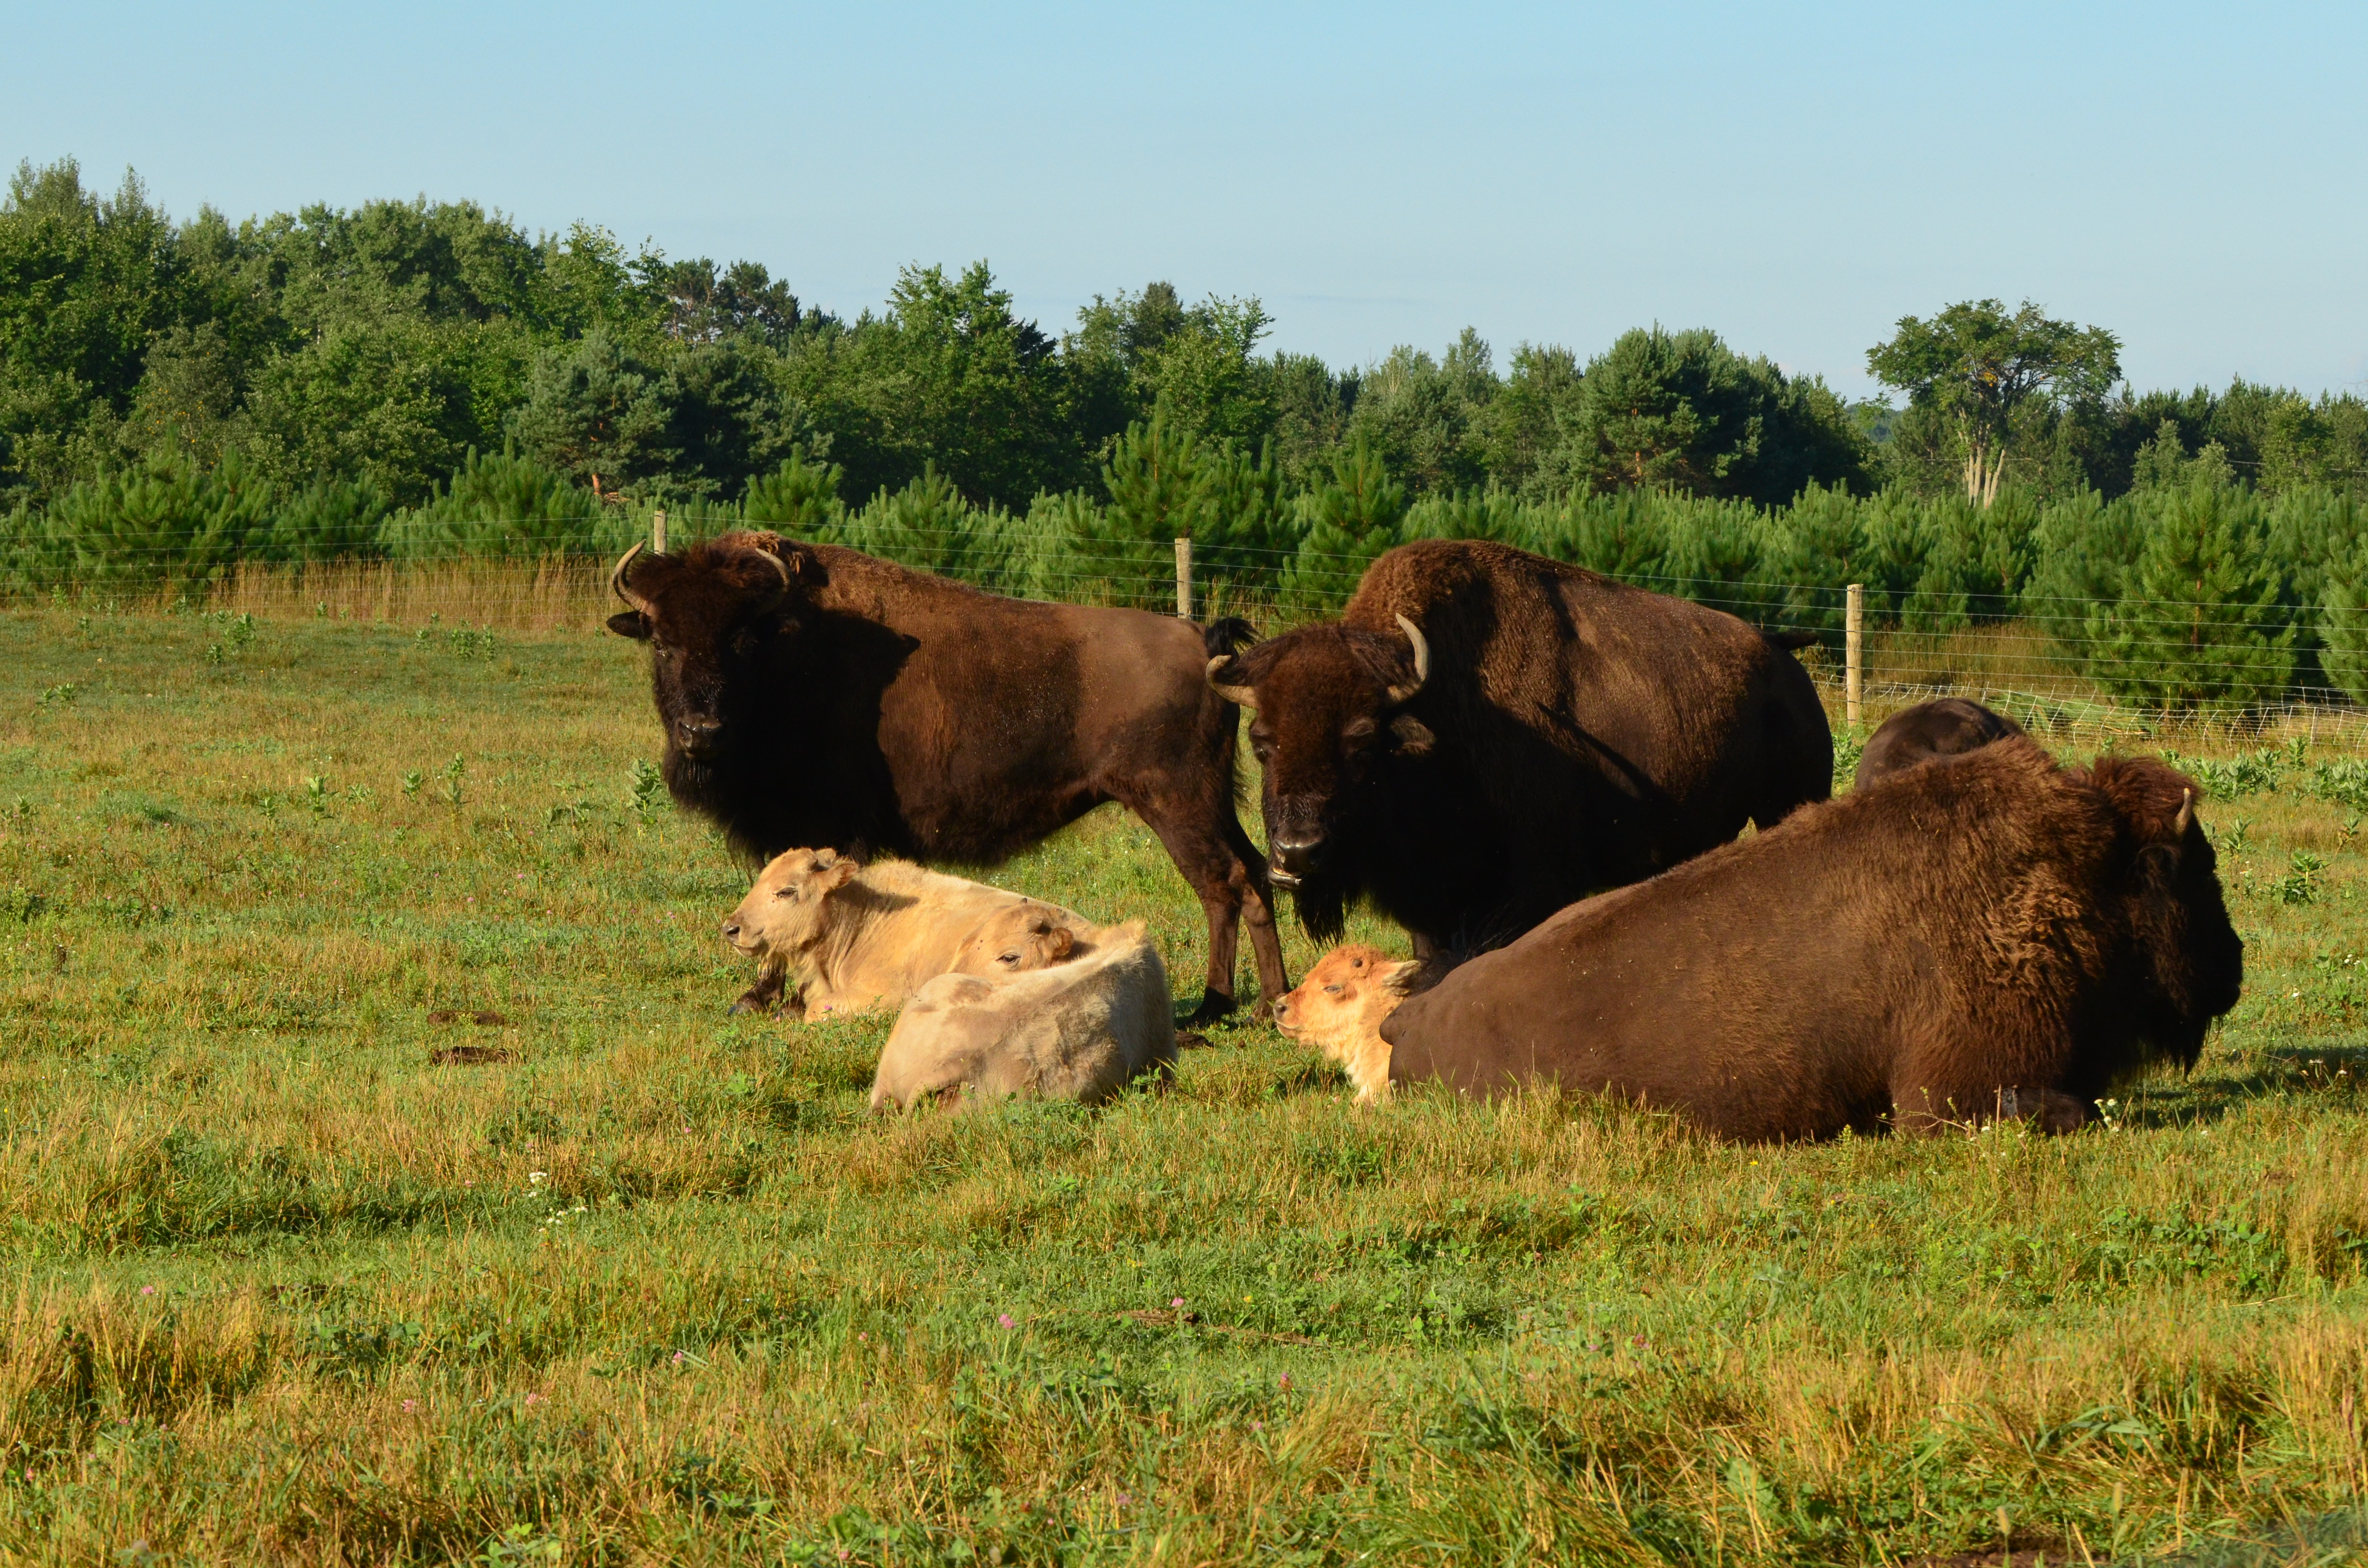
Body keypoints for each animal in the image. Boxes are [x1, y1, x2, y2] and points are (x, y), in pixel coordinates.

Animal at [610, 530, 1287, 1018]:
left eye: (743, 642)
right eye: (661, 642)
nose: (701, 732)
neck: (788, 649)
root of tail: (1203, 641)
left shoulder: (822, 824)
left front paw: (770, 996)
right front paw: (755, 998)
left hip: (1174, 803)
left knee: (1224, 885)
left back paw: (1214, 1006)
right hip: (1213, 803)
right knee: (1255, 875)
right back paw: (1266, 1004)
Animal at [1205, 538, 1832, 953]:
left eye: (1362, 742)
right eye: (1260, 743)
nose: (1296, 855)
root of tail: (1783, 662)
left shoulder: (1529, 888)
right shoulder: (1432, 903)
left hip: (1788, 802)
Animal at [1383, 738, 2244, 1138]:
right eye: (2194, 869)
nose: (2235, 965)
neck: (2075, 875)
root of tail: (1410, 1016)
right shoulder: (1949, 1096)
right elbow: (2076, 1110)